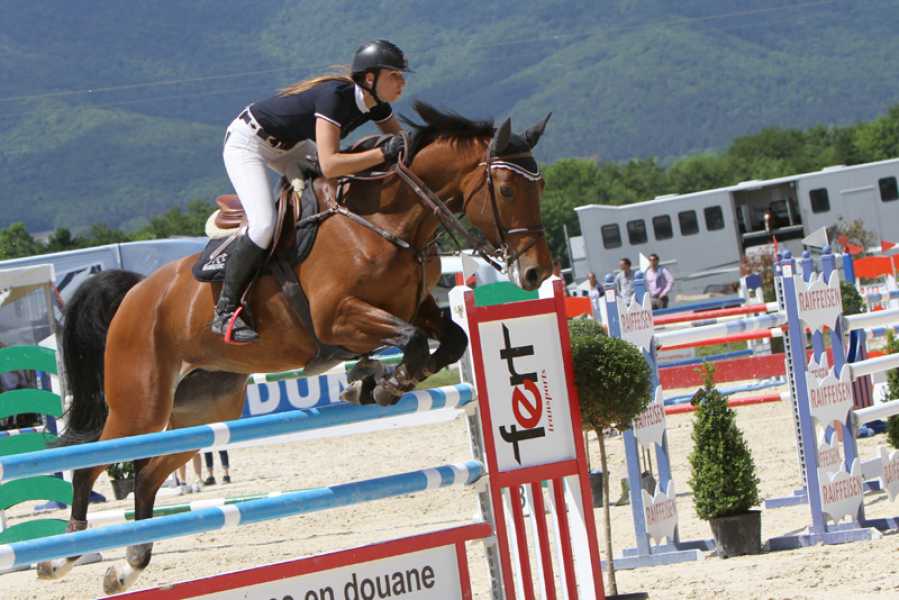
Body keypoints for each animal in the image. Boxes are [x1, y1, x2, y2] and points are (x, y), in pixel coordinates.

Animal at [39, 101, 554, 593]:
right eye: (507, 190)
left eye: (541, 187)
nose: (535, 273)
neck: (385, 219)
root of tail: (136, 291)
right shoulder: (338, 317)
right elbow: (409, 341)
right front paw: (379, 385)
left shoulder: (417, 306)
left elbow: (450, 341)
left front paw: (374, 384)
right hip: (140, 407)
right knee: (90, 465)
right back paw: (62, 558)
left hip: (204, 409)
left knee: (146, 477)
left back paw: (127, 567)